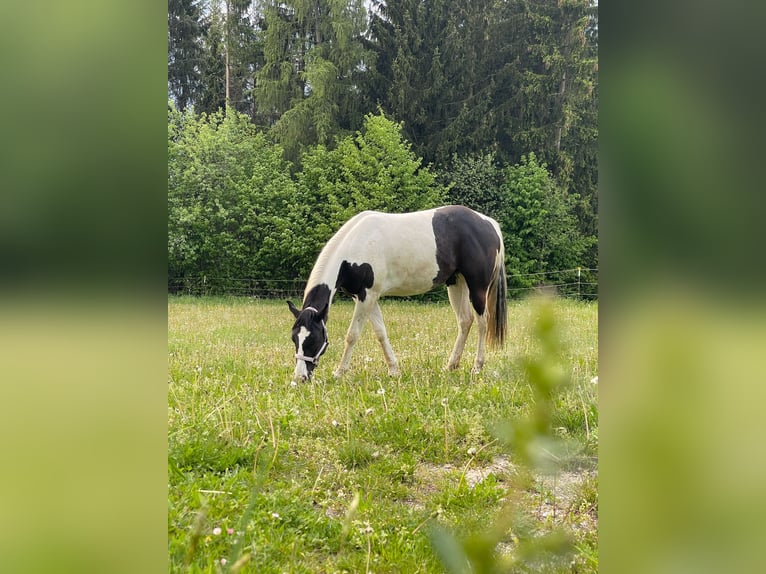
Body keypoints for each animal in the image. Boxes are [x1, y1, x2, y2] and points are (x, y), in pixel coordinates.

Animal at [287, 205, 507, 381]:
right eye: (294, 338)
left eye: (313, 339)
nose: (300, 377)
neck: (355, 248)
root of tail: (488, 223)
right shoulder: (366, 298)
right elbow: (380, 333)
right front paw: (393, 370)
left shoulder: (367, 297)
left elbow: (352, 335)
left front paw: (339, 372)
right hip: (456, 283)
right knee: (465, 321)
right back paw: (451, 365)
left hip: (478, 287)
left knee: (482, 322)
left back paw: (477, 367)